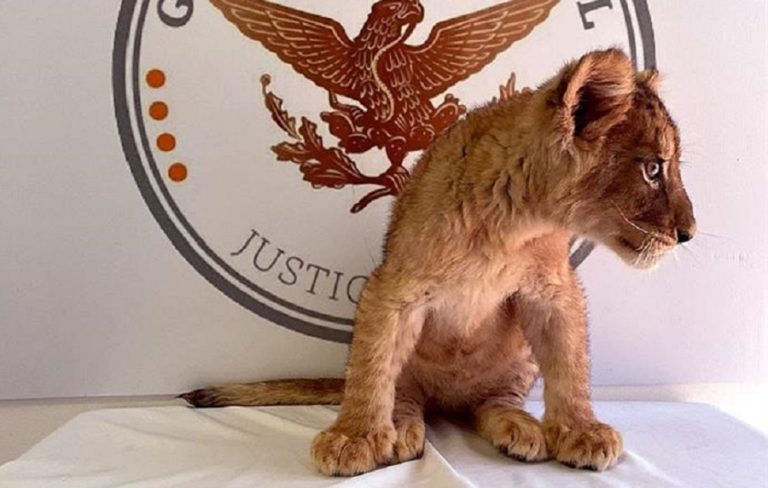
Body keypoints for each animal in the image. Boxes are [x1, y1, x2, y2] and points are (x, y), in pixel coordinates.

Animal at [182, 49, 696, 476]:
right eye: (653, 168)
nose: (687, 233)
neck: (515, 225)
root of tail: (450, 401)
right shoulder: (393, 287)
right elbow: (373, 368)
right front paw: (354, 437)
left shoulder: (554, 289)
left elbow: (570, 363)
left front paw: (581, 431)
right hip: (410, 366)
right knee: (402, 393)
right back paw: (401, 431)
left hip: (515, 364)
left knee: (491, 402)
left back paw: (518, 427)